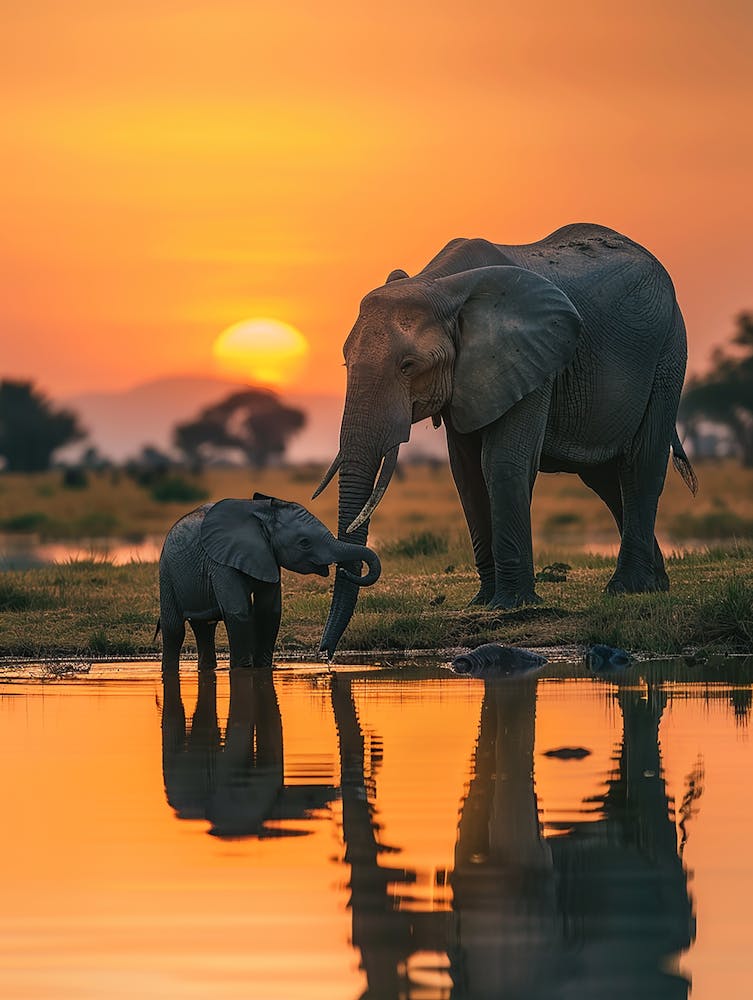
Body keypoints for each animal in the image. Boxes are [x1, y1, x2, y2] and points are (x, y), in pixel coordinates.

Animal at [158, 493, 380, 670]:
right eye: (304, 543)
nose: (325, 656)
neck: (262, 517)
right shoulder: (220, 563)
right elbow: (239, 613)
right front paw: (243, 670)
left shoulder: (269, 558)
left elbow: (269, 613)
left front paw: (263, 668)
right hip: (166, 571)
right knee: (174, 629)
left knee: (204, 628)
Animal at [315, 223, 697, 658]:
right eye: (345, 361)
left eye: (408, 366)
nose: (325, 655)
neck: (440, 286)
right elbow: (466, 473)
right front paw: (482, 603)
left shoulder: (532, 358)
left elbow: (501, 462)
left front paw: (511, 604)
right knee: (604, 479)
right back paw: (654, 586)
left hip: (668, 350)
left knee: (640, 464)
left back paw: (624, 589)